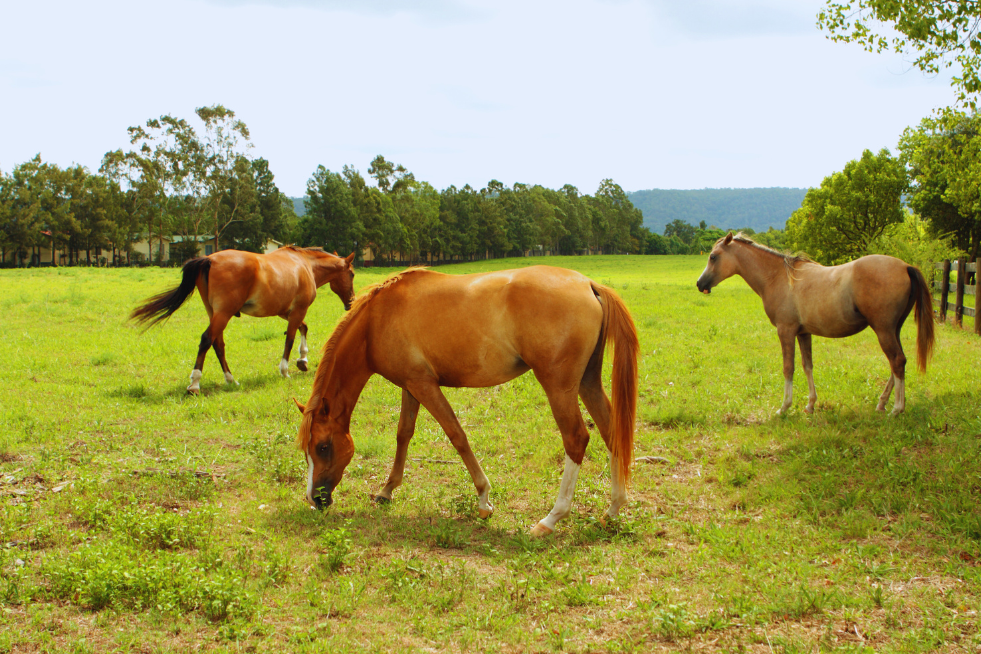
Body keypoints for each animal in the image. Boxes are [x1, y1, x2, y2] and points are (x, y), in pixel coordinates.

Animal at [131, 246, 356, 394]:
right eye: (352, 274)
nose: (351, 302)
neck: (304, 264)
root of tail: (209, 260)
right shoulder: (298, 310)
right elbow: (290, 338)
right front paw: (285, 370)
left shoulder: (286, 311)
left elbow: (303, 329)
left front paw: (303, 360)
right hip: (223, 313)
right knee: (207, 340)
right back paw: (195, 383)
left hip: (215, 313)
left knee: (218, 344)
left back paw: (231, 379)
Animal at [294, 265, 639, 536]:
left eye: (323, 447)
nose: (315, 500)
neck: (377, 319)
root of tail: (588, 284)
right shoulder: (410, 385)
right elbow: (403, 434)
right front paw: (387, 491)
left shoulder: (424, 385)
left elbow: (456, 434)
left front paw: (484, 500)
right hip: (587, 382)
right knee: (611, 432)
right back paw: (613, 510)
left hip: (559, 387)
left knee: (576, 438)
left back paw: (551, 519)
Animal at [696, 233, 934, 415]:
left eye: (713, 257)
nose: (700, 284)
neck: (778, 277)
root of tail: (905, 266)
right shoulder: (803, 333)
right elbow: (807, 366)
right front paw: (810, 405)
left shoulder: (786, 331)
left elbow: (789, 368)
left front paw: (784, 407)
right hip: (893, 329)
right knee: (898, 363)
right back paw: (882, 403)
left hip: (883, 330)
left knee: (897, 361)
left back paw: (897, 408)